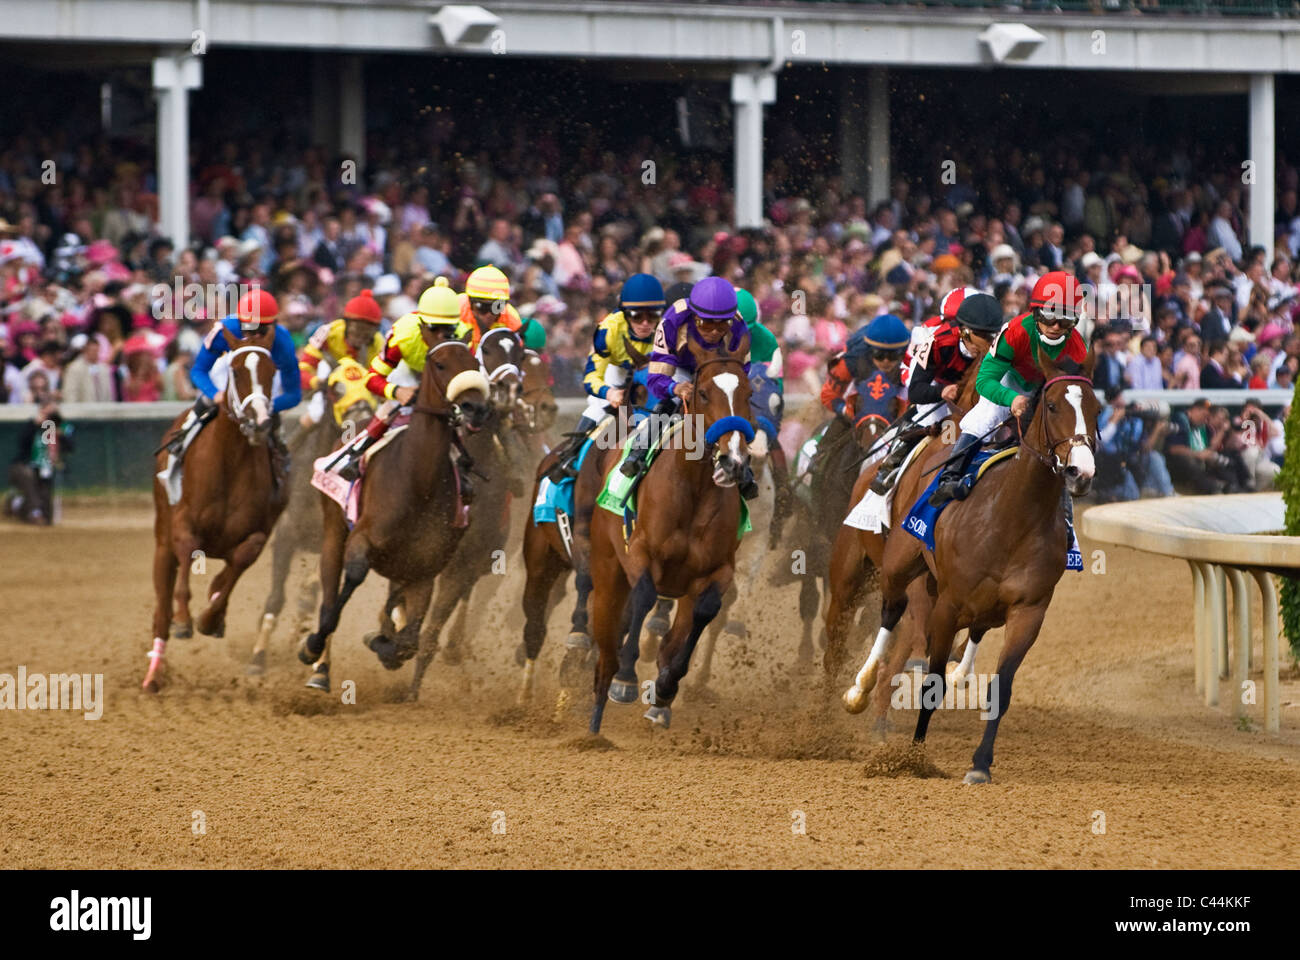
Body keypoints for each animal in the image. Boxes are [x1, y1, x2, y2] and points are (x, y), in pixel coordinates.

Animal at [299, 335, 491, 686]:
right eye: (440, 364)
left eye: (475, 363)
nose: (476, 408)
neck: (418, 482)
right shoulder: (361, 540)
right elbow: (347, 589)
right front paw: (312, 646)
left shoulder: (424, 570)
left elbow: (409, 641)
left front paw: (383, 642)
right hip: (333, 529)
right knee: (330, 593)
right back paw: (320, 667)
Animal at [832, 348, 1097, 780]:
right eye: (1053, 406)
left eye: (1095, 408)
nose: (1081, 472)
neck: (1013, 516)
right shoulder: (947, 605)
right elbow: (930, 681)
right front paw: (914, 757)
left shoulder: (1029, 611)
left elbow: (1001, 689)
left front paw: (980, 764)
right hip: (893, 567)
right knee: (890, 611)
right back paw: (858, 688)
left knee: (967, 629)